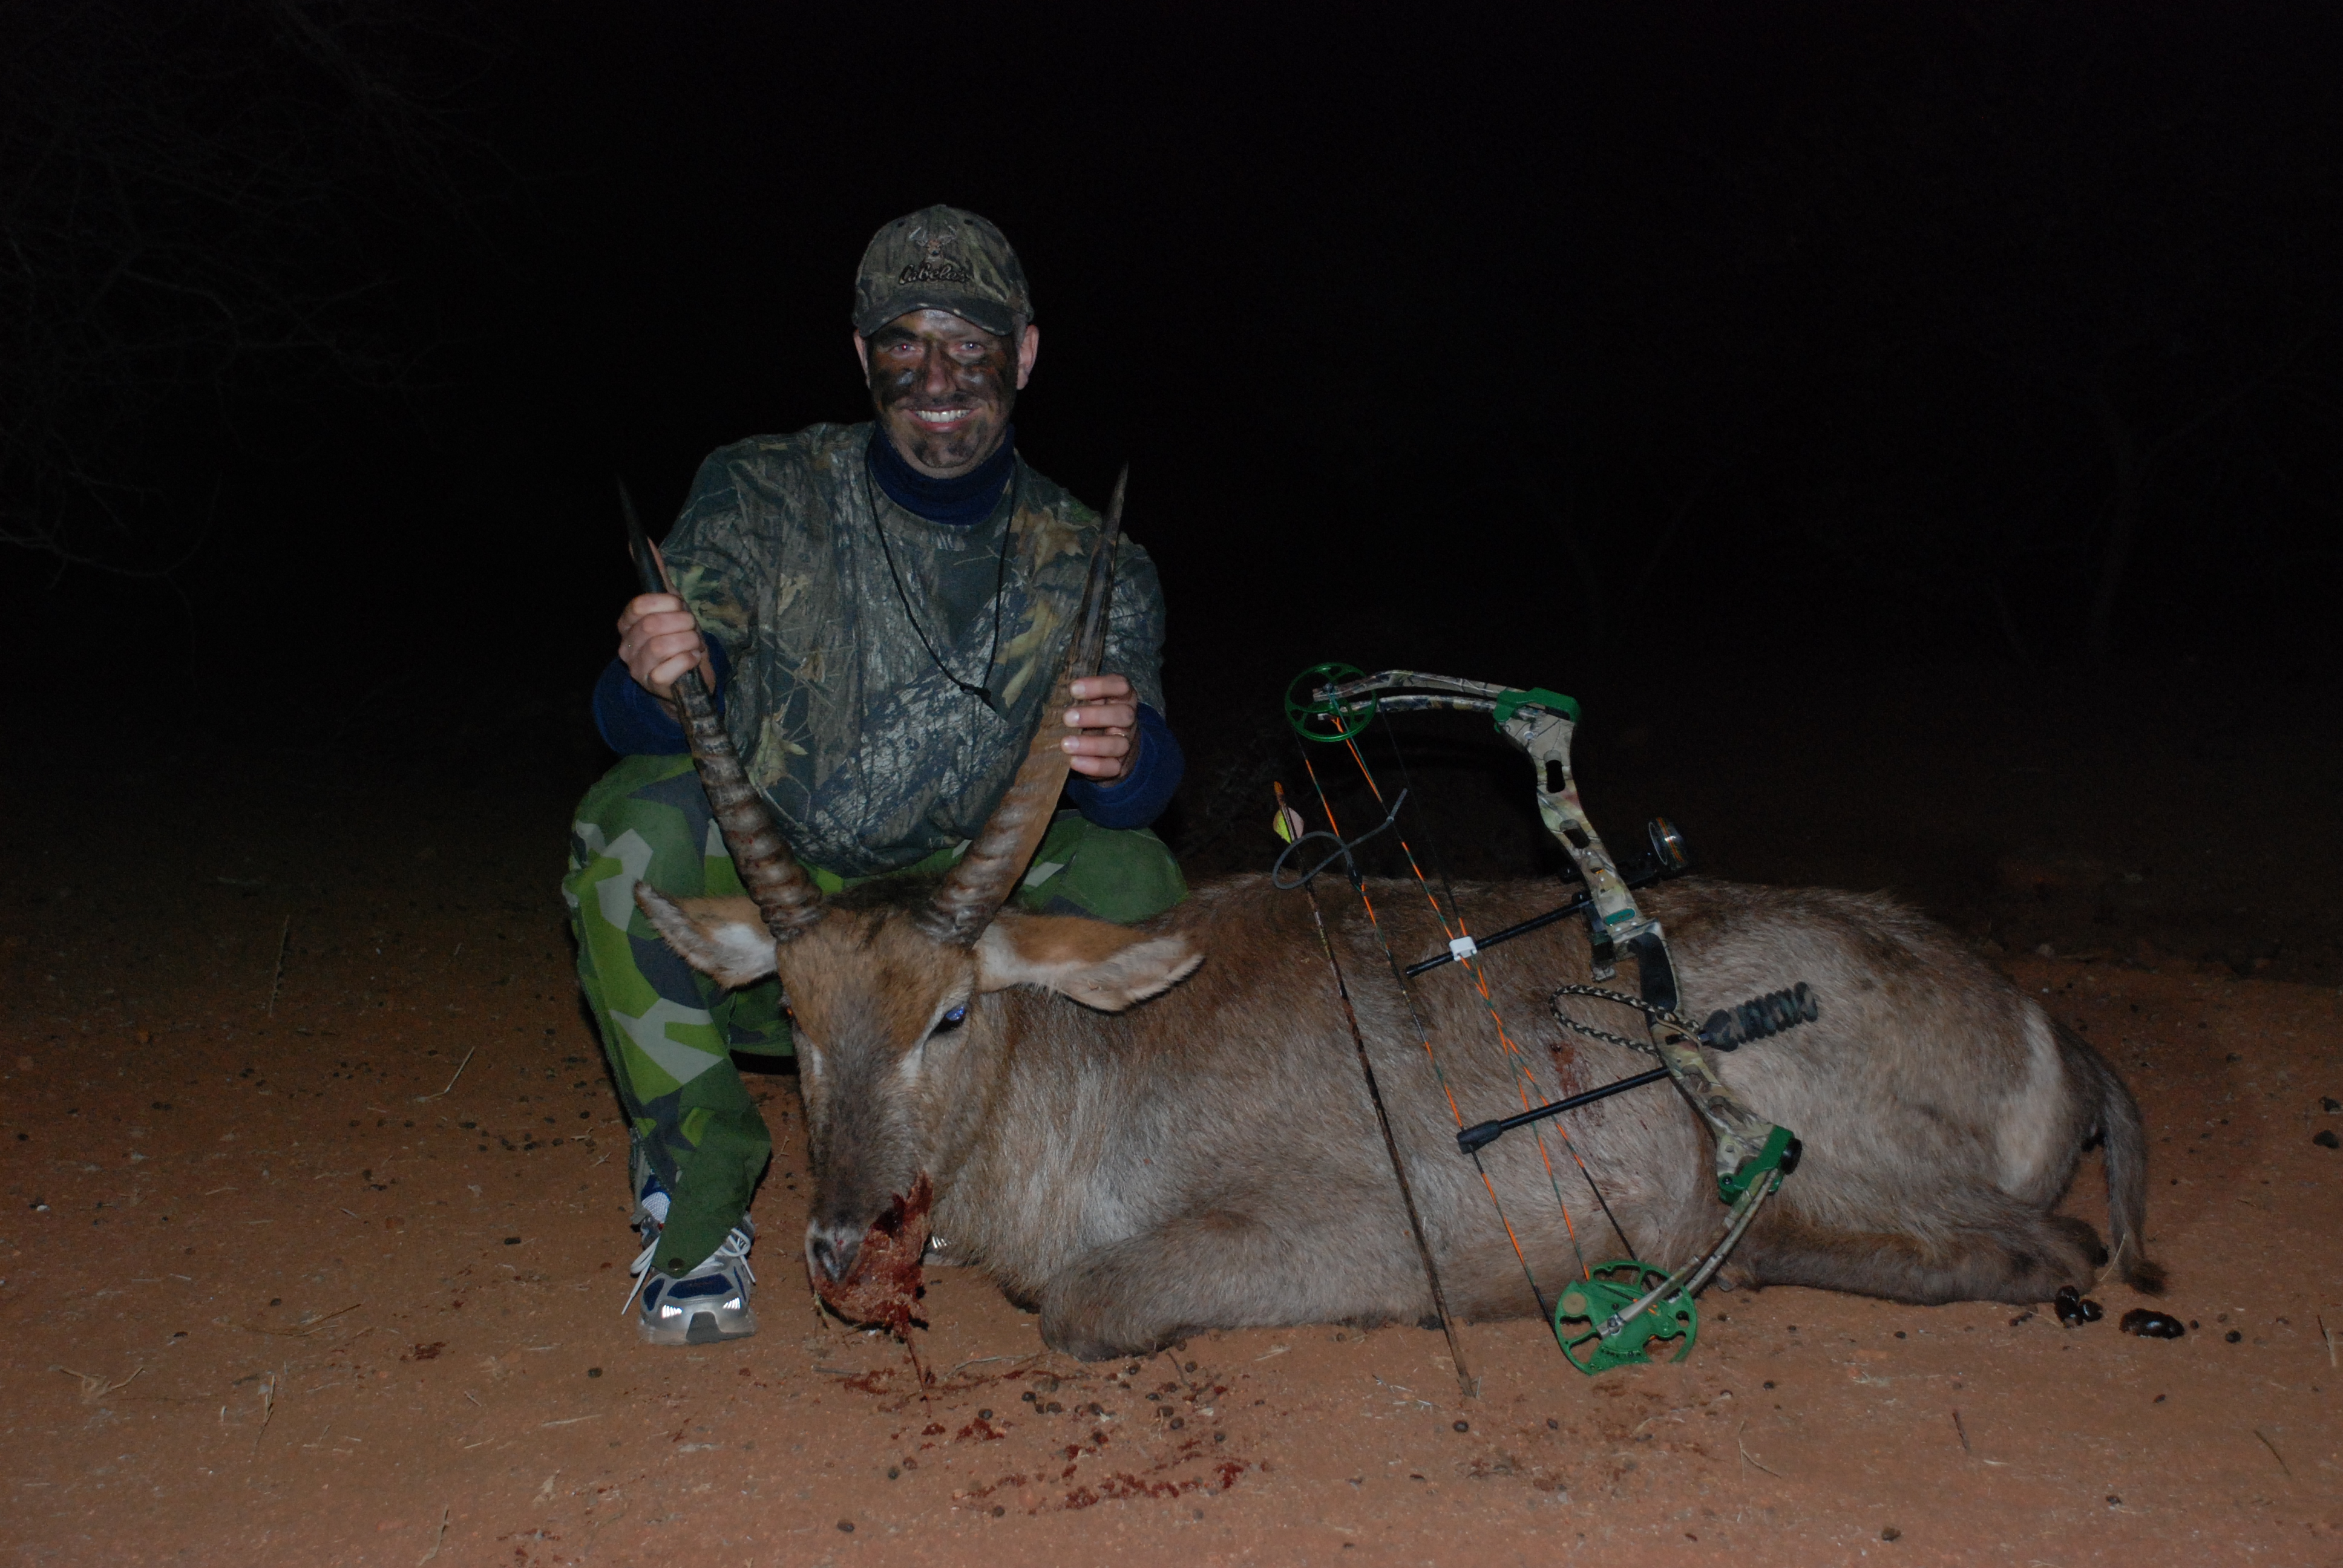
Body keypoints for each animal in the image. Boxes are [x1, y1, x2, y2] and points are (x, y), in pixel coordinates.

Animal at [632, 550, 2161, 1363]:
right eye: (794, 1010)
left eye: (949, 1014)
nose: (839, 1242)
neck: (1093, 1071)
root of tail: (2055, 1034)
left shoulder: (1356, 1233)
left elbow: (1080, 1299)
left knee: (2051, 1245)